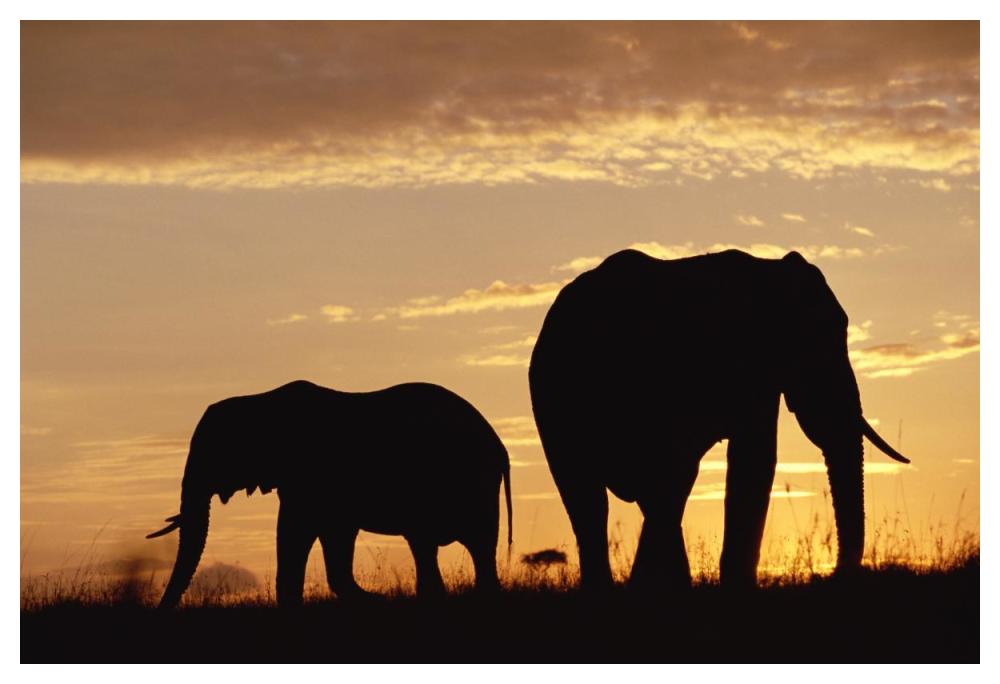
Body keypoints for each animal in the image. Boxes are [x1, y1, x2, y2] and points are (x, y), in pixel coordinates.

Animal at [147, 380, 512, 608]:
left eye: (215, 452)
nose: (162, 609)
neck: (259, 400)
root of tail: (498, 445)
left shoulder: (309, 474)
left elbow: (297, 530)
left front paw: (376, 600)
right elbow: (330, 535)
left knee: (456, 544)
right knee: (449, 548)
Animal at [528, 249, 908, 591]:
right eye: (816, 340)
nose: (835, 575)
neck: (770, 270)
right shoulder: (746, 362)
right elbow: (754, 459)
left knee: (632, 495)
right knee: (606, 494)